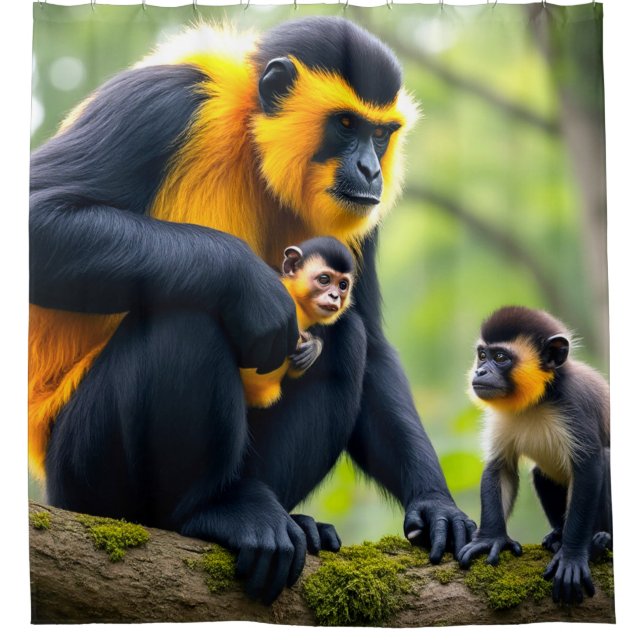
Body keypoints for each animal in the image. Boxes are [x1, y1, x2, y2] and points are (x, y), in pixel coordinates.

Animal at [457, 306, 611, 604]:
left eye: (500, 357)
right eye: (482, 355)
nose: (480, 371)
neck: (540, 398)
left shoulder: (575, 405)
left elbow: (589, 469)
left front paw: (573, 556)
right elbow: (500, 467)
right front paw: (491, 539)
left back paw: (599, 543)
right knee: (541, 473)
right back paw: (558, 537)